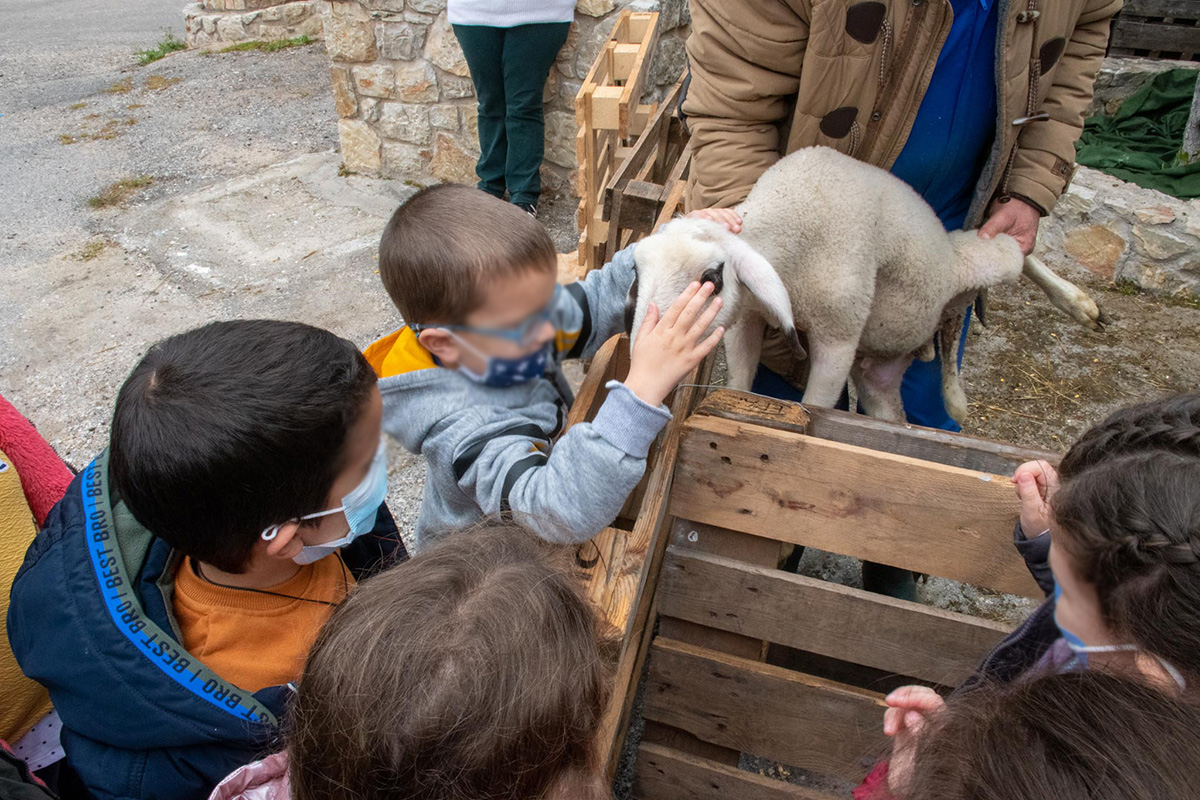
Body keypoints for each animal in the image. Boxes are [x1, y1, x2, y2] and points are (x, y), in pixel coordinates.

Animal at [628, 148, 1104, 429]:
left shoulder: (838, 335)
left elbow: (814, 405)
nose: (642, 355)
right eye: (636, 273)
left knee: (1014, 246)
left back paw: (1079, 304)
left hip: (975, 259)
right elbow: (739, 386)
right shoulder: (746, 316)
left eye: (711, 278)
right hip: (879, 376)